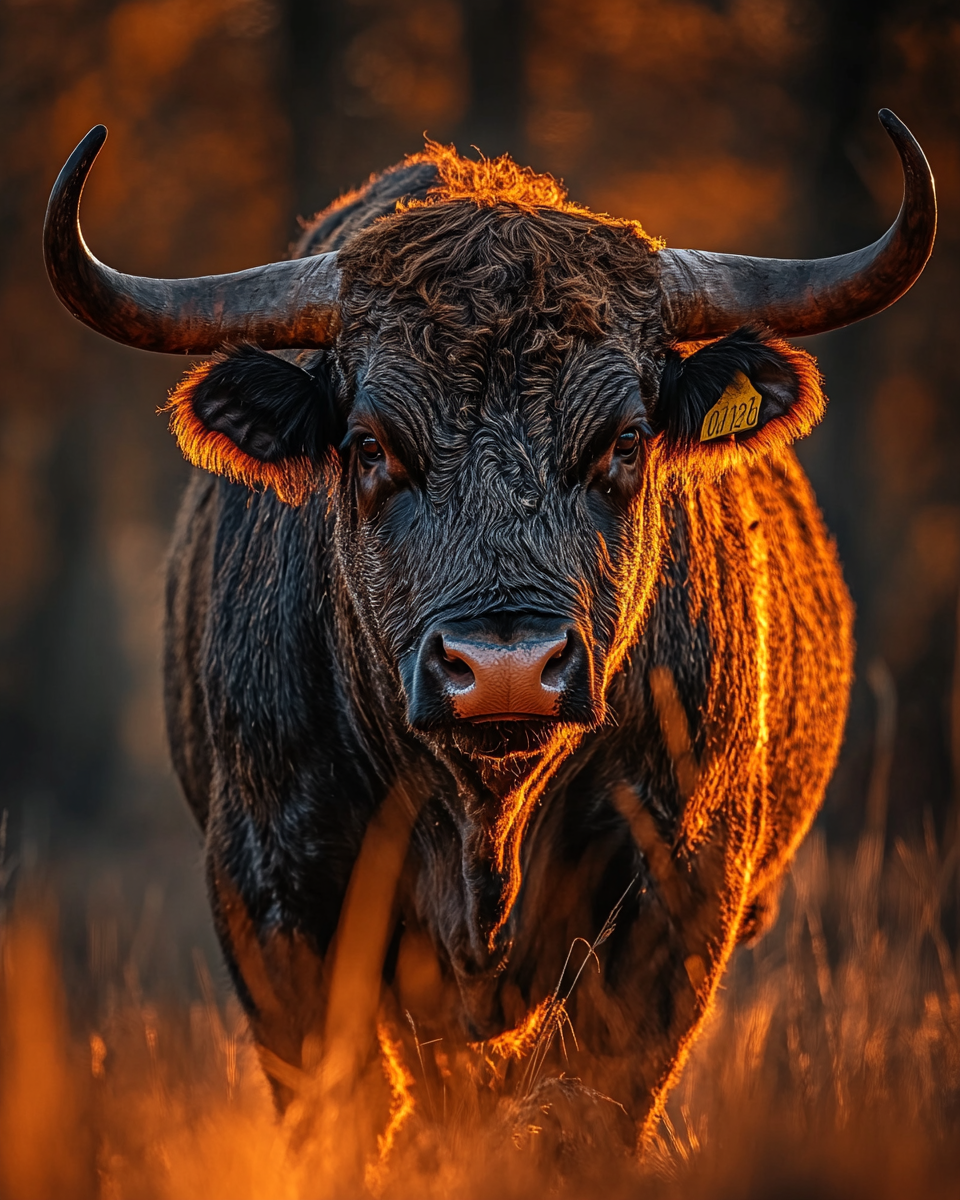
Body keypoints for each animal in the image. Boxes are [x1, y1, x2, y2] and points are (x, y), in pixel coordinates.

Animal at [45, 112, 936, 1152]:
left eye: (624, 441)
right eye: (370, 446)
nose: (505, 668)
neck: (485, 832)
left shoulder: (677, 888)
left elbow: (576, 1121)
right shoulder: (271, 889)